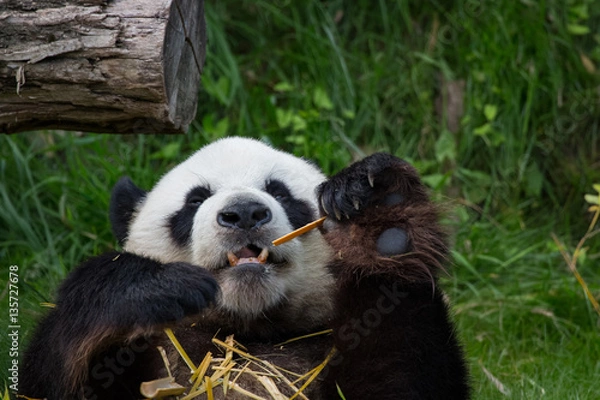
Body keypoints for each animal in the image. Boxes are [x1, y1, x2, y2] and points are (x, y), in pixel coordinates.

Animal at [21, 136, 468, 398]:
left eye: (280, 193)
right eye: (195, 200)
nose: (244, 213)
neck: (246, 334)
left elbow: (401, 373)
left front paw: (380, 217)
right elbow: (45, 376)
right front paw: (151, 288)